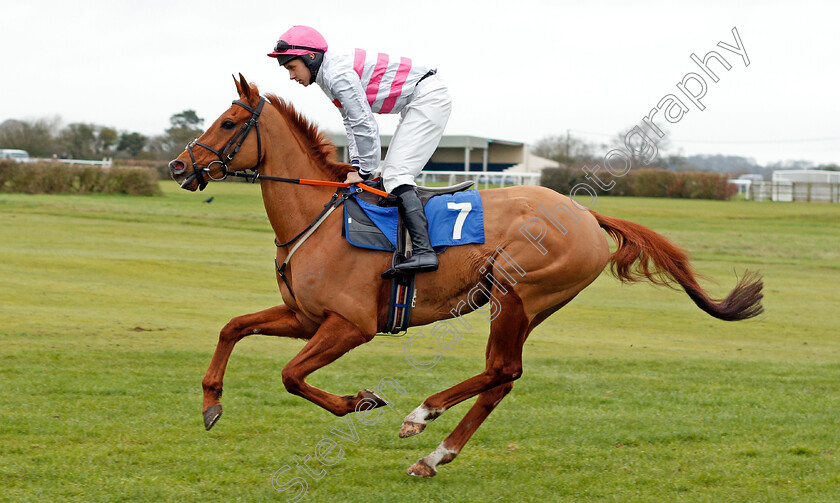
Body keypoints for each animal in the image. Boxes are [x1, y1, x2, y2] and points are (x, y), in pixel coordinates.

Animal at [169, 74, 760, 476]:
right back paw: (436, 454)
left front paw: (362, 400)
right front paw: (211, 403)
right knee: (503, 379)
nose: (179, 167)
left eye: (227, 123)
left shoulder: (352, 325)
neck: (318, 218)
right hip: (526, 306)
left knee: (503, 369)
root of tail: (587, 214)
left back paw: (422, 415)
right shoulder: (305, 317)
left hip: (516, 292)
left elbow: (292, 375)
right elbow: (232, 326)